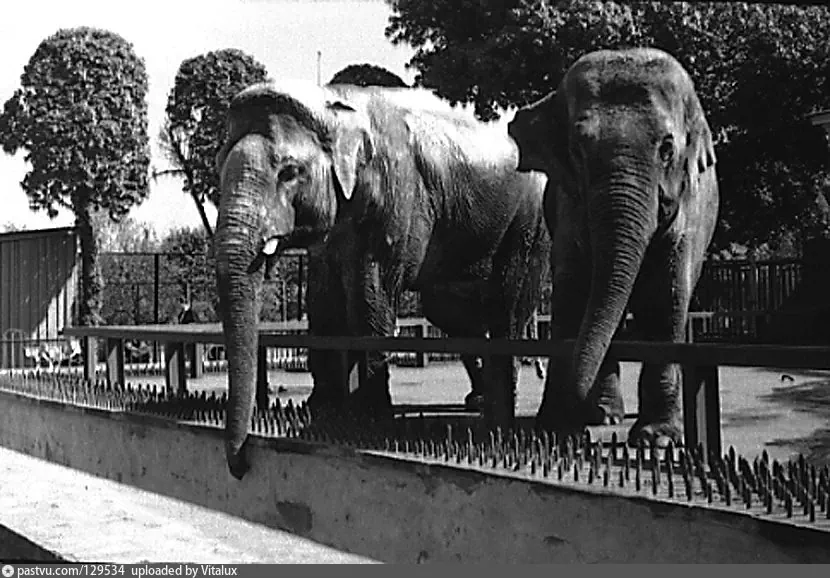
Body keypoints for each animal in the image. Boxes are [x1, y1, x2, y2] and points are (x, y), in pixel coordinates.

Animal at [213, 81, 552, 476]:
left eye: (289, 172)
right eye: (219, 169)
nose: (239, 464)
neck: (333, 105)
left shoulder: (393, 198)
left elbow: (368, 299)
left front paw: (370, 418)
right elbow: (323, 304)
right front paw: (322, 410)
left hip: (528, 227)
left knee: (505, 308)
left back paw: (499, 415)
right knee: (449, 312)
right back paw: (477, 401)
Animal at [508, 48, 720, 446]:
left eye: (667, 149)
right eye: (577, 150)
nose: (574, 423)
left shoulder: (689, 205)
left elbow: (666, 294)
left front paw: (657, 438)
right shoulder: (567, 203)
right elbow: (573, 288)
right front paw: (557, 427)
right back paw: (605, 415)